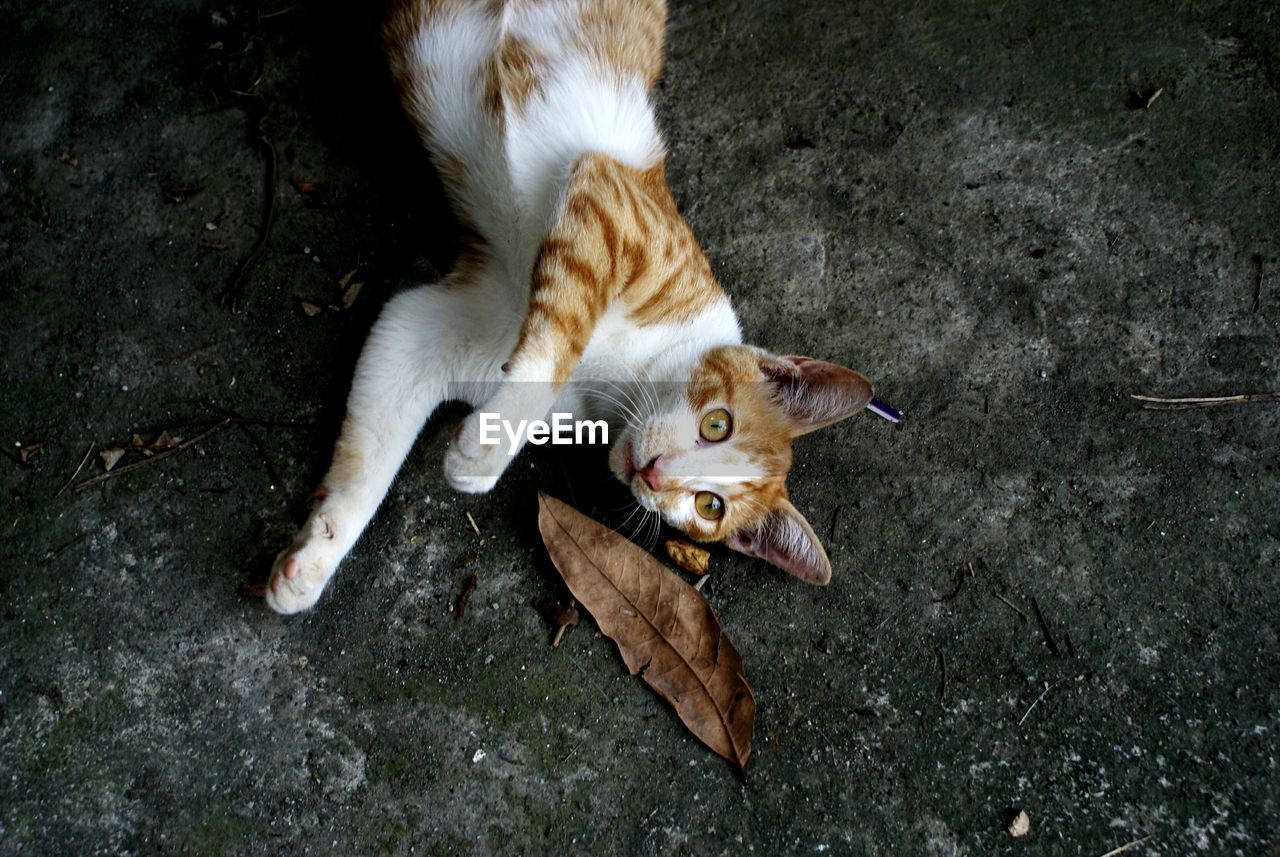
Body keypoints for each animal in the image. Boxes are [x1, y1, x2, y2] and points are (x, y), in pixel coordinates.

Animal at [264, 0, 875, 619]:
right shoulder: (608, 202)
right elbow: (558, 338)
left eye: (708, 507)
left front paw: (314, 556)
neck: (619, 378)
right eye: (717, 424)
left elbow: (369, 458)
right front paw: (487, 449)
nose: (656, 474)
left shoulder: (436, 326)